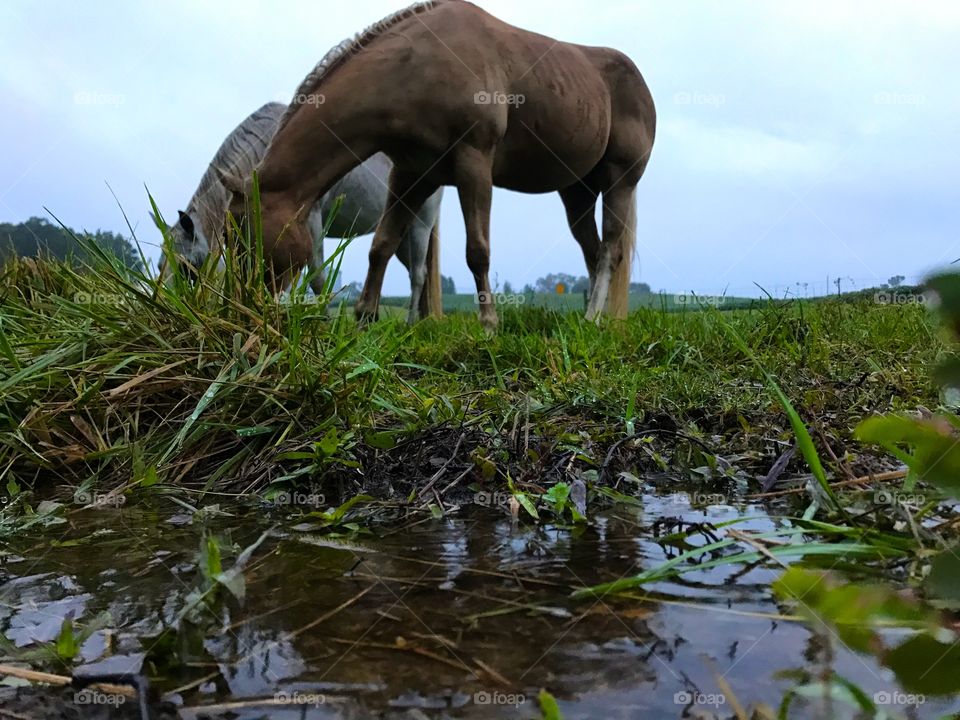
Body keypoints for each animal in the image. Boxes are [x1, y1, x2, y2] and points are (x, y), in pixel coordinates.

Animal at [159, 101, 444, 320]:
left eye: (185, 266)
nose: (165, 303)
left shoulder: (310, 221)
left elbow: (315, 276)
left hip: (420, 225)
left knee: (418, 276)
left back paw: (411, 325)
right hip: (402, 236)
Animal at [219, 0, 652, 330]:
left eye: (242, 234)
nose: (237, 310)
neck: (417, 67)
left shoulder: (474, 163)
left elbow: (477, 250)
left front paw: (489, 324)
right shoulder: (412, 174)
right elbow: (381, 244)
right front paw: (364, 319)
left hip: (620, 180)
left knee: (610, 250)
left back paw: (594, 318)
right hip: (576, 191)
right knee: (593, 251)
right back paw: (596, 319)